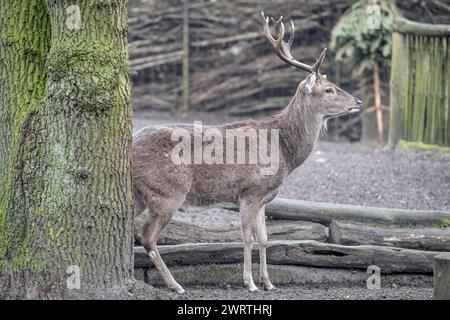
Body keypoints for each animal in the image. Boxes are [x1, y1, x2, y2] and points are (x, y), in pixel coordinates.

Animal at [133, 12, 362, 294]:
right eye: (329, 89)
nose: (358, 102)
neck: (285, 152)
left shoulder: (264, 198)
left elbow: (265, 238)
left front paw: (268, 282)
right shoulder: (250, 192)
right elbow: (247, 237)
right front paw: (250, 283)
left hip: (140, 194)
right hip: (168, 192)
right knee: (147, 236)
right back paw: (175, 285)